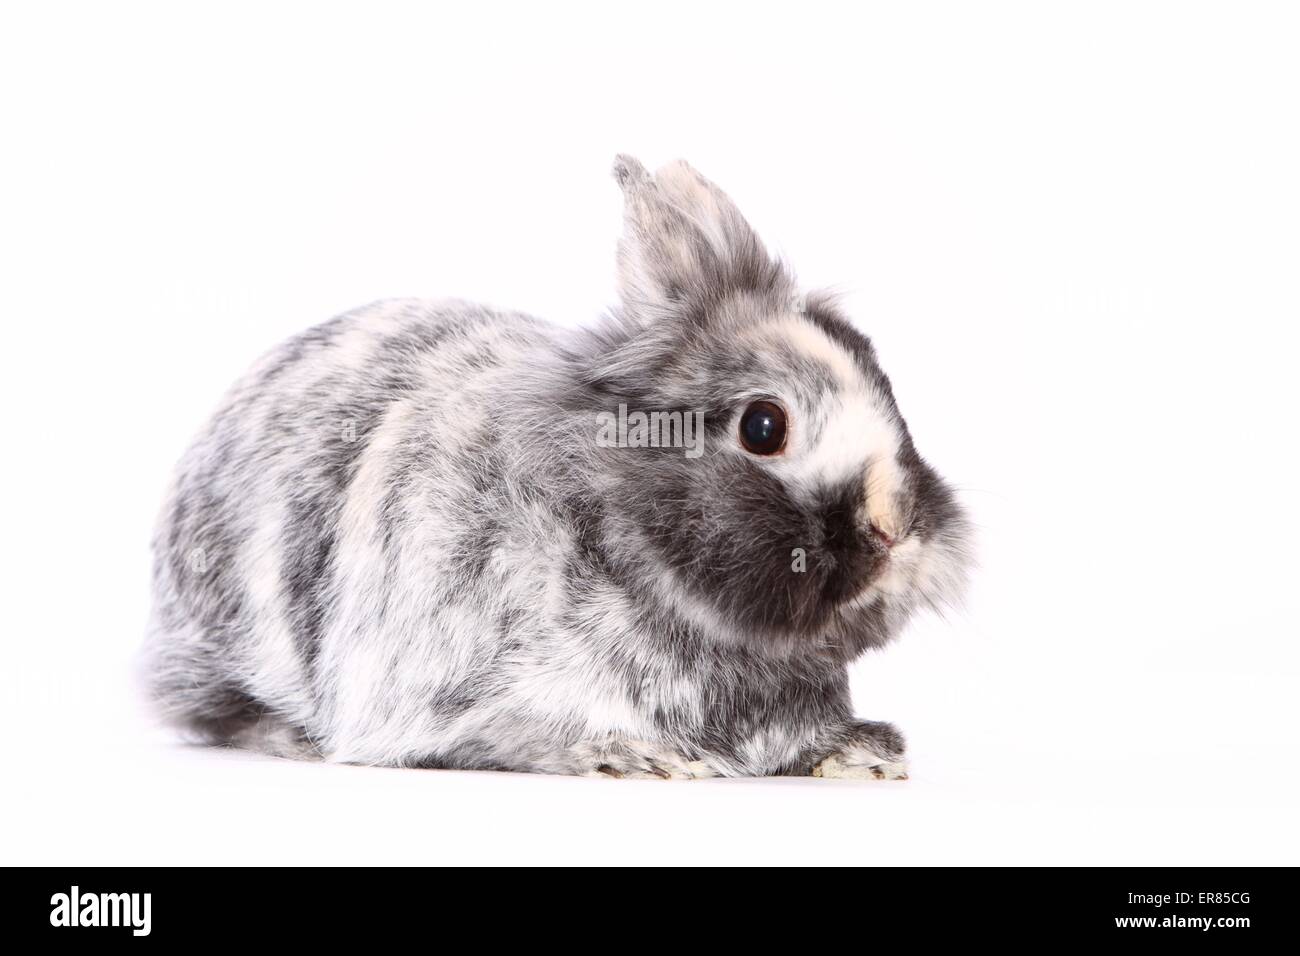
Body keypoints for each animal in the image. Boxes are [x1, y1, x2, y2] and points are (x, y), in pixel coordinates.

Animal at [144, 155, 972, 779]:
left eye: (887, 384)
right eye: (764, 425)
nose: (898, 530)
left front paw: (865, 752)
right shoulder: (459, 696)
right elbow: (522, 733)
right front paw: (640, 760)